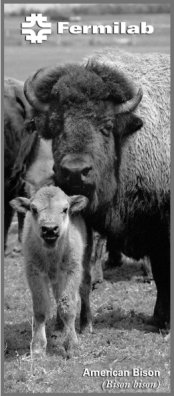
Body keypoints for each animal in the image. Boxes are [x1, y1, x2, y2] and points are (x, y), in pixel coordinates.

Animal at [10, 186, 92, 356]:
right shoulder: (34, 272)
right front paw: (37, 348)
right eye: (33, 209)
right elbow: (41, 307)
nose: (49, 229)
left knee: (84, 288)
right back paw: (59, 327)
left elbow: (67, 304)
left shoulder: (72, 270)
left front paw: (72, 346)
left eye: (65, 209)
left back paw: (86, 325)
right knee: (57, 295)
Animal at [23, 49, 171, 328]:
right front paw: (83, 322)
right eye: (56, 125)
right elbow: (84, 273)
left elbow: (163, 272)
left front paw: (161, 321)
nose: (75, 170)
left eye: (106, 126)